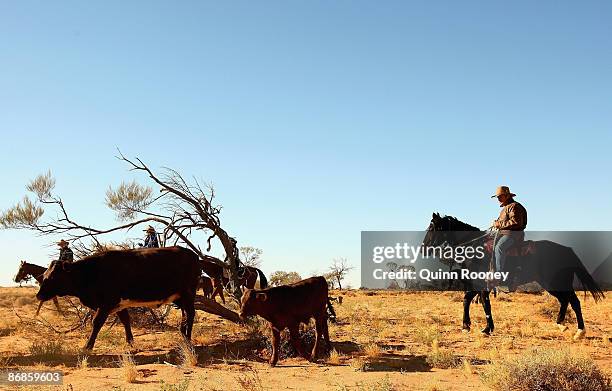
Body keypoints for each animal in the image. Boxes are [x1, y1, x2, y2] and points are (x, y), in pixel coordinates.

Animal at [35, 247, 201, 350]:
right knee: (185, 314)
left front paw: (87, 346)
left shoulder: (106, 304)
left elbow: (96, 323)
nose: (39, 295)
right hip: (179, 297)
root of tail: (192, 254)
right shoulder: (118, 305)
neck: (91, 272)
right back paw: (182, 334)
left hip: (188, 293)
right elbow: (126, 320)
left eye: (53, 277)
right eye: (44, 275)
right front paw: (130, 342)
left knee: (190, 314)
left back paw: (188, 339)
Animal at [424, 213, 604, 342]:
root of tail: (566, 250)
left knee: (573, 302)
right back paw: (563, 326)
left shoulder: (481, 283)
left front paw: (486, 329)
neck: (475, 247)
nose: (424, 248)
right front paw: (466, 326)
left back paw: (578, 332)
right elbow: (468, 300)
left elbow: (483, 304)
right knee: (566, 301)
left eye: (433, 227)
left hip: (554, 282)